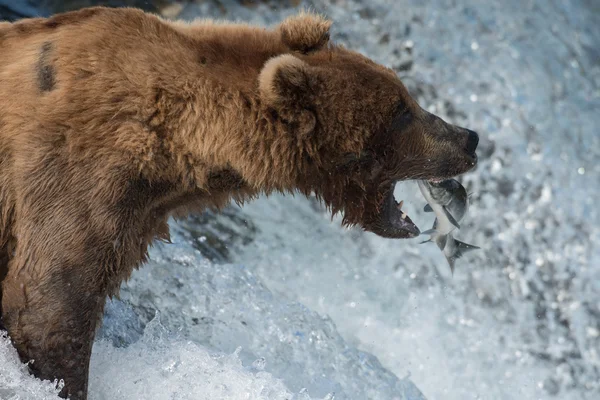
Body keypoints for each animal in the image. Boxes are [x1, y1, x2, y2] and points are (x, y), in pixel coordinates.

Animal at [0, 7, 478, 400]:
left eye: (406, 97)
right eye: (402, 111)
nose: (469, 138)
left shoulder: (137, 211)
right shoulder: (80, 170)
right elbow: (49, 301)